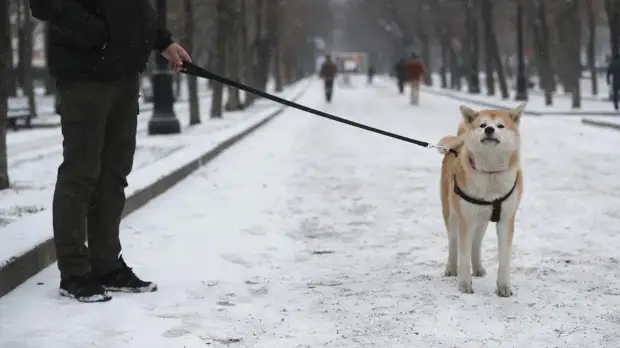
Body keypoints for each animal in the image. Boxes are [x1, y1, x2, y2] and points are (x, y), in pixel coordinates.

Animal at [436, 102, 524, 296]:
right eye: (483, 125)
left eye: (500, 126)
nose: (489, 129)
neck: (490, 174)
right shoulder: (466, 219)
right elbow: (463, 254)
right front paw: (464, 285)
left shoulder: (506, 219)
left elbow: (504, 258)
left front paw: (504, 287)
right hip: (452, 213)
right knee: (453, 243)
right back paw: (451, 268)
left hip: (482, 219)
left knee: (476, 244)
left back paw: (477, 268)